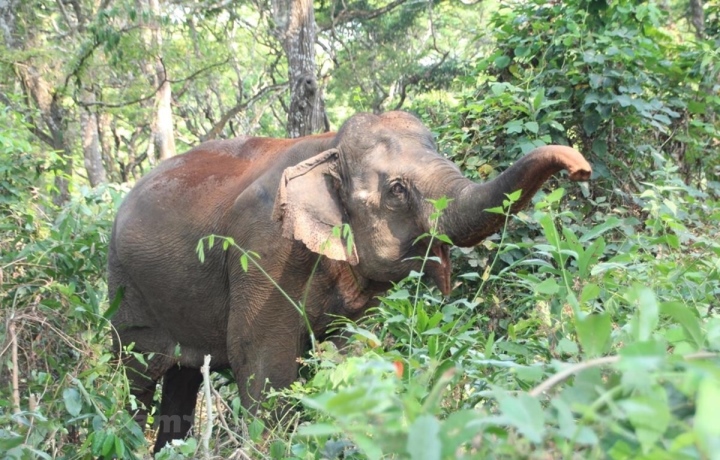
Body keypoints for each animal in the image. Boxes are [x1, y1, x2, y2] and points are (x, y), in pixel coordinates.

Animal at [107, 109, 592, 452]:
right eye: (397, 190)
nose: (581, 168)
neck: (328, 148)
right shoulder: (263, 249)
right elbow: (260, 361)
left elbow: (345, 352)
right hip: (125, 291)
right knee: (134, 379)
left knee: (181, 382)